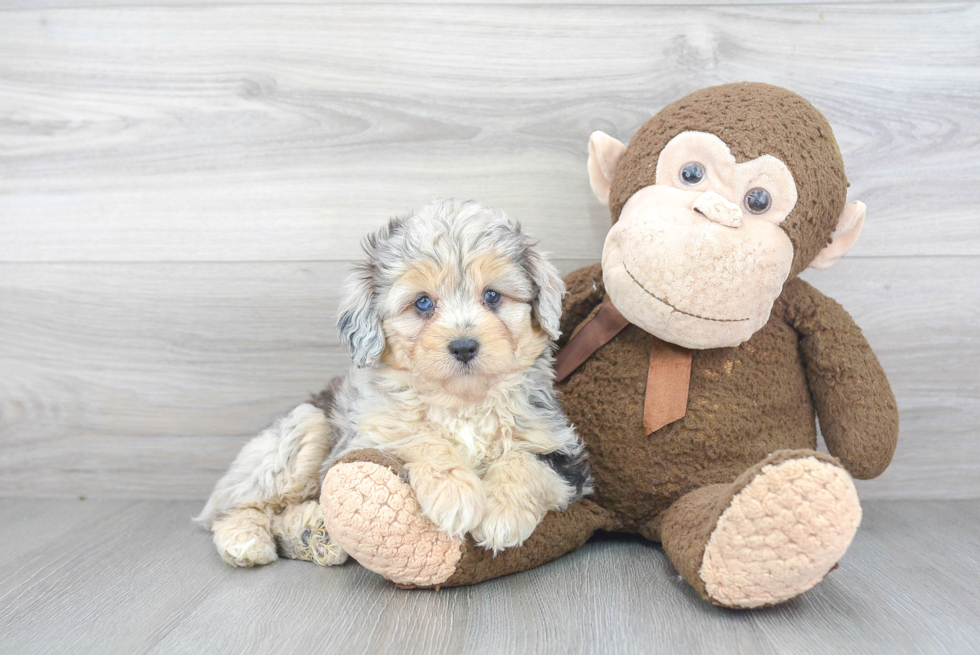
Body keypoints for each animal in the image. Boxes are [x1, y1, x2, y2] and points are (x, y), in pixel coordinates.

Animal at [195, 200, 584, 568]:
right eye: (422, 303)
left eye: (492, 296)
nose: (463, 346)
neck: (462, 402)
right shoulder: (367, 437)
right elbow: (419, 438)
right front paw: (455, 493)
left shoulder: (565, 454)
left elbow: (525, 460)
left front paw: (502, 514)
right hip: (304, 426)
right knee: (235, 506)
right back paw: (246, 539)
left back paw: (313, 533)